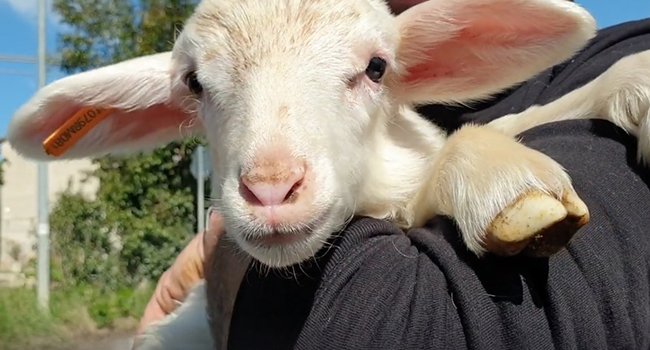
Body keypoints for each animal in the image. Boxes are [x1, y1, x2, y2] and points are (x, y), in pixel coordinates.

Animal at [6, 0, 648, 348]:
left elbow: (525, 116)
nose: (270, 188)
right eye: (194, 83)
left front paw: (634, 84)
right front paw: (507, 185)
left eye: (376, 68)